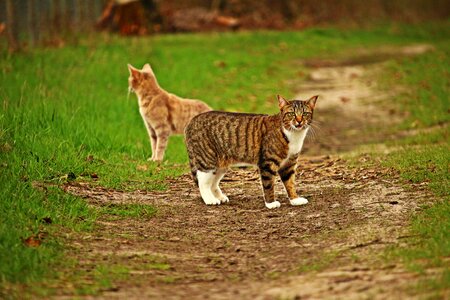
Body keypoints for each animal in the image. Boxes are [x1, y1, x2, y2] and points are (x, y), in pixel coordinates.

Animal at [185, 95, 318, 209]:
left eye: (305, 113)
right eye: (291, 114)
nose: (299, 121)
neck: (293, 134)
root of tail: (191, 121)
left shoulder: (289, 163)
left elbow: (290, 183)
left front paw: (295, 199)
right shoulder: (267, 163)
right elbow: (268, 184)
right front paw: (270, 203)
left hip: (220, 164)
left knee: (213, 183)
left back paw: (219, 197)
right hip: (207, 160)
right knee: (203, 182)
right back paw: (210, 199)